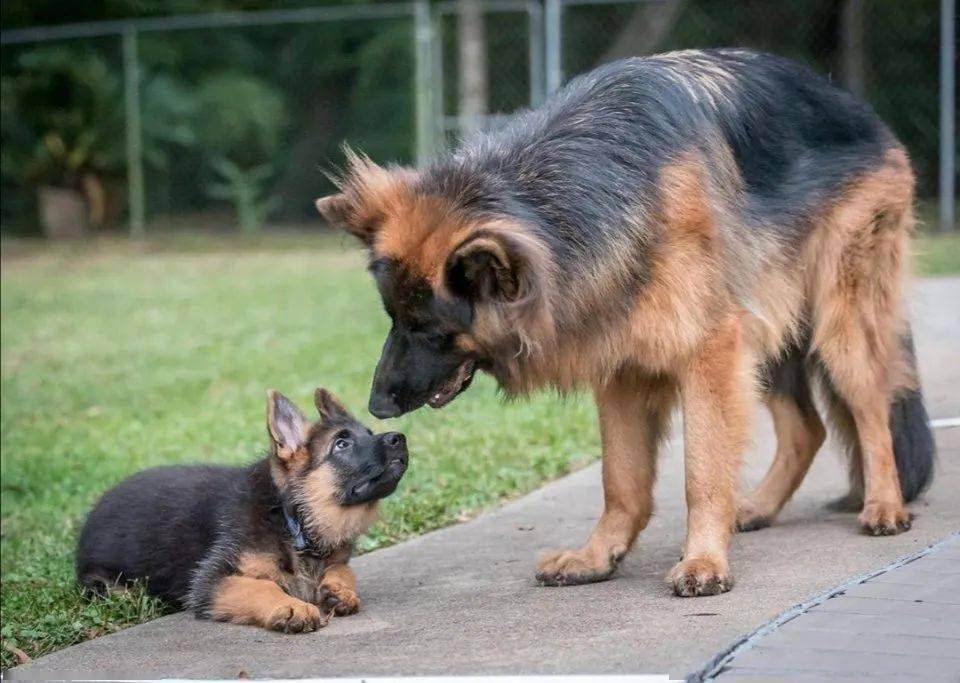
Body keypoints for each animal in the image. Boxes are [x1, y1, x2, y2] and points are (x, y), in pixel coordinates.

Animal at [75, 388, 404, 632]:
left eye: (369, 432)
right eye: (341, 444)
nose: (399, 438)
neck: (291, 516)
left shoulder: (332, 559)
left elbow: (343, 569)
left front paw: (339, 590)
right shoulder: (211, 581)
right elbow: (260, 587)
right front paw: (291, 606)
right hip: (106, 584)